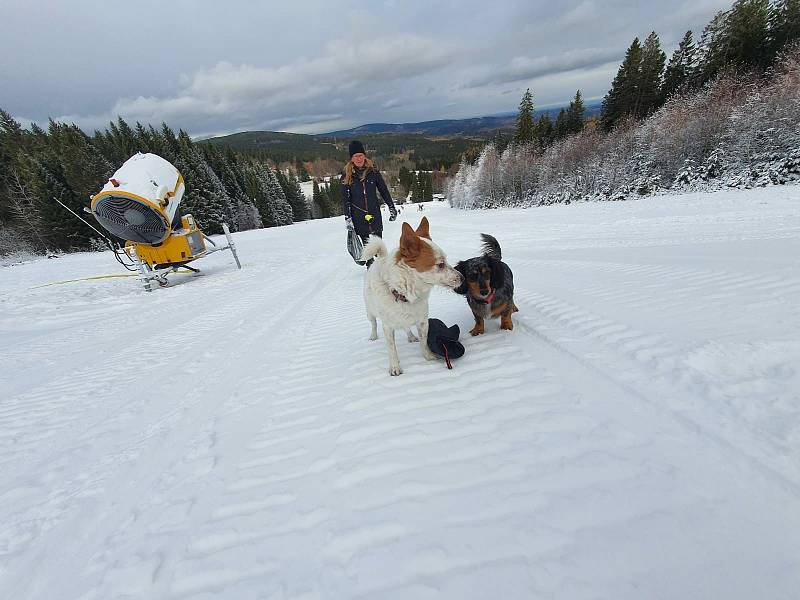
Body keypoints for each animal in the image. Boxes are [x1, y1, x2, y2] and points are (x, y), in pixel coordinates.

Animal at [360, 216, 460, 376]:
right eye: (440, 264)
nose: (462, 278)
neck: (406, 294)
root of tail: (379, 259)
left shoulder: (423, 322)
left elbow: (424, 342)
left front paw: (428, 357)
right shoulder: (388, 327)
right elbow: (392, 349)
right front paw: (395, 367)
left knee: (406, 327)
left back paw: (411, 336)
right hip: (370, 312)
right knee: (373, 324)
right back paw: (373, 336)